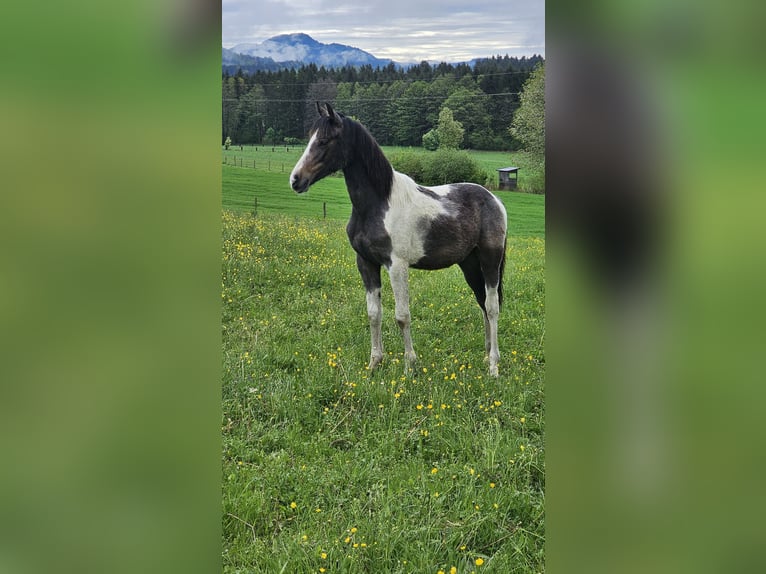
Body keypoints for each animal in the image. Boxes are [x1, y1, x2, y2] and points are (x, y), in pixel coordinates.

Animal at [289, 102, 508, 376]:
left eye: (325, 141)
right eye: (310, 137)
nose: (296, 180)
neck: (377, 204)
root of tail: (494, 200)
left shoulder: (396, 265)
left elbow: (402, 316)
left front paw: (409, 366)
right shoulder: (366, 263)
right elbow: (374, 314)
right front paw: (374, 363)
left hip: (490, 260)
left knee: (492, 306)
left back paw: (494, 366)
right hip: (469, 263)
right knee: (482, 304)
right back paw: (486, 356)